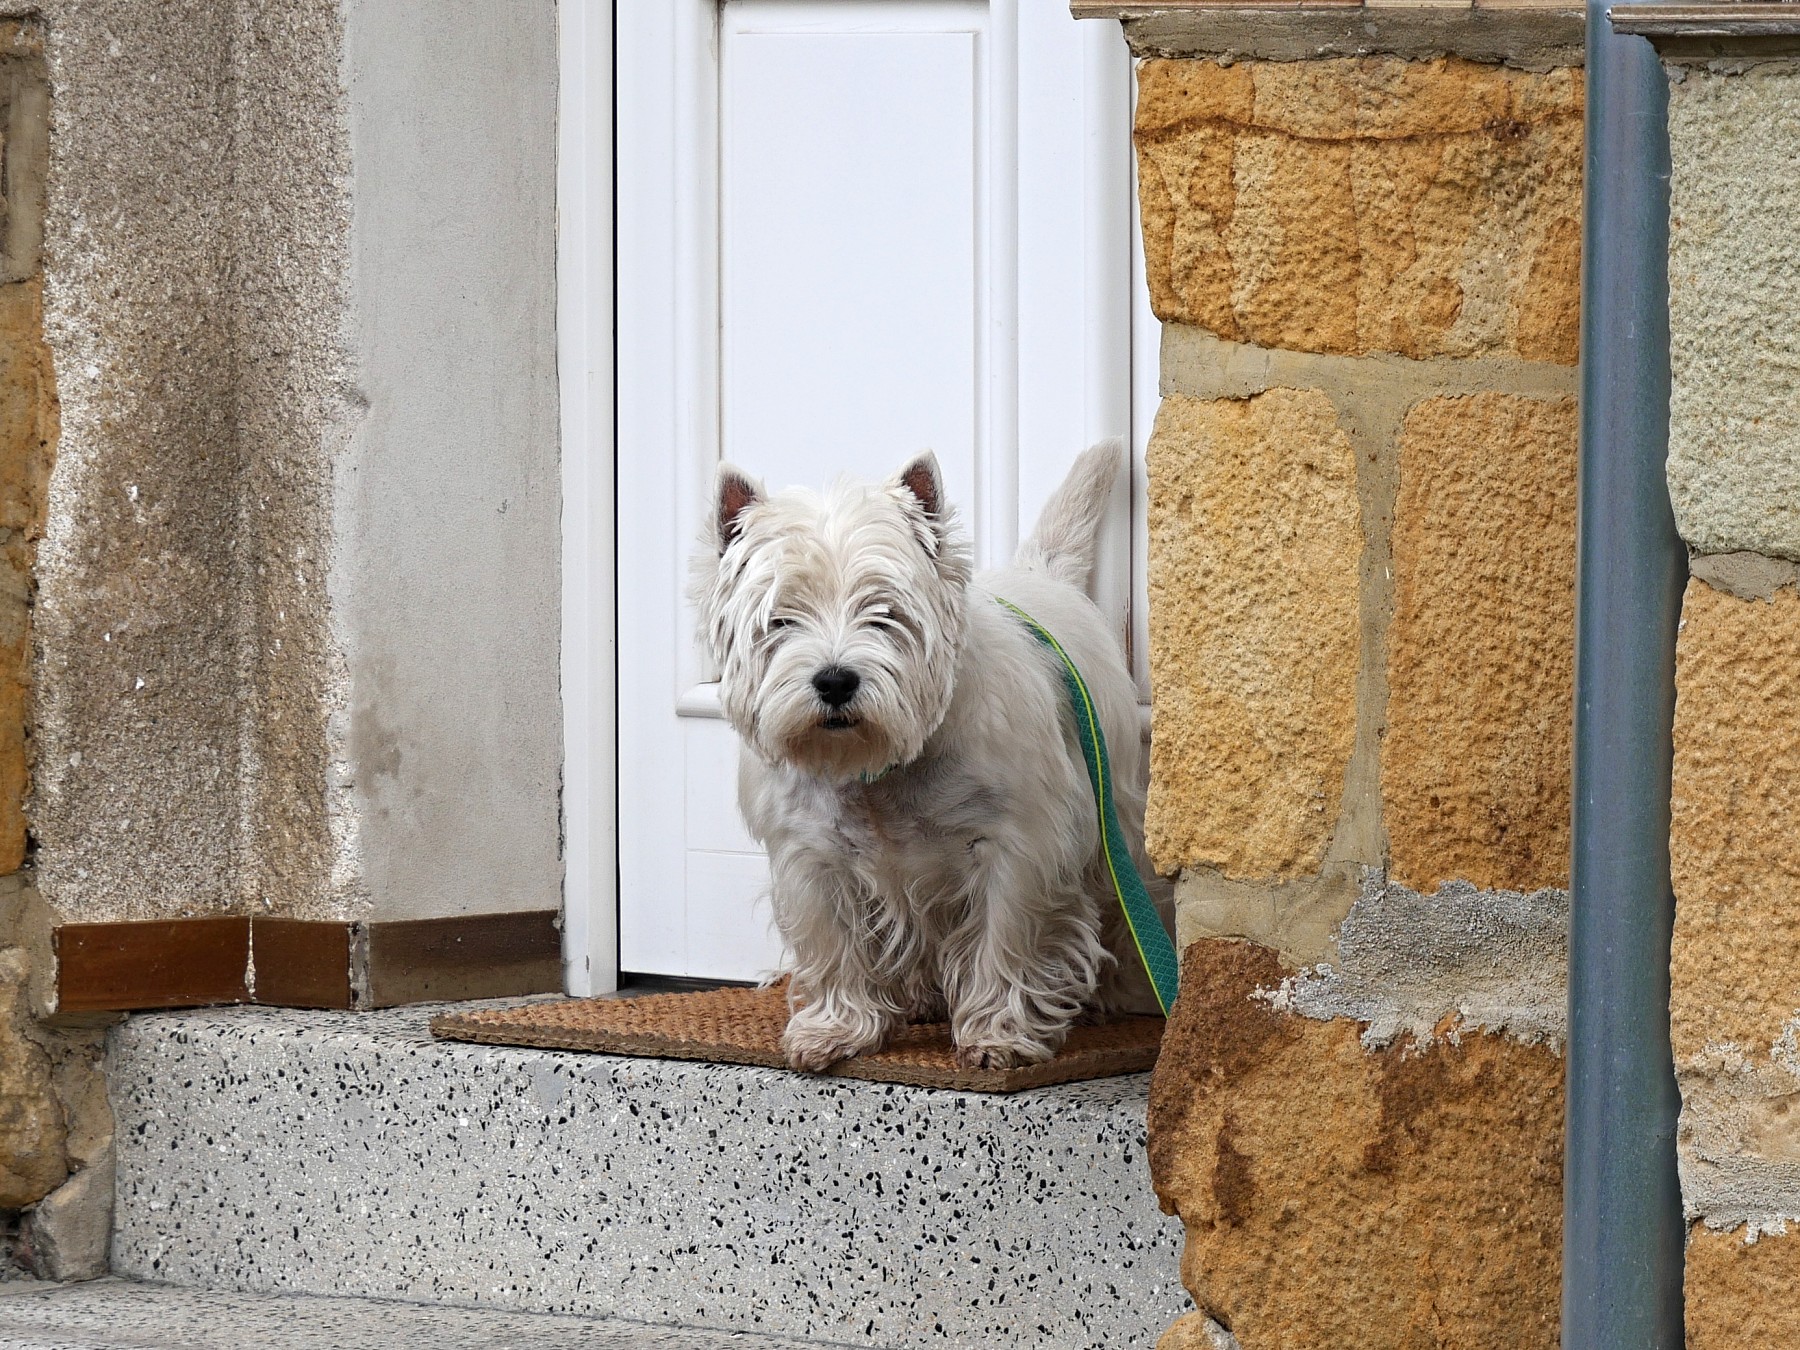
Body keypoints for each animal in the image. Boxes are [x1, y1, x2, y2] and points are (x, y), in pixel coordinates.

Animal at [691, 441, 1169, 1071]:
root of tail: (1039, 574)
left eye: (885, 612)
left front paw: (996, 1034)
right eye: (780, 620)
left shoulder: (1018, 848)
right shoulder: (813, 857)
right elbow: (833, 943)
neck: (879, 768)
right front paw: (833, 1030)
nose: (835, 681)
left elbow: (1005, 938)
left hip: (1113, 816)